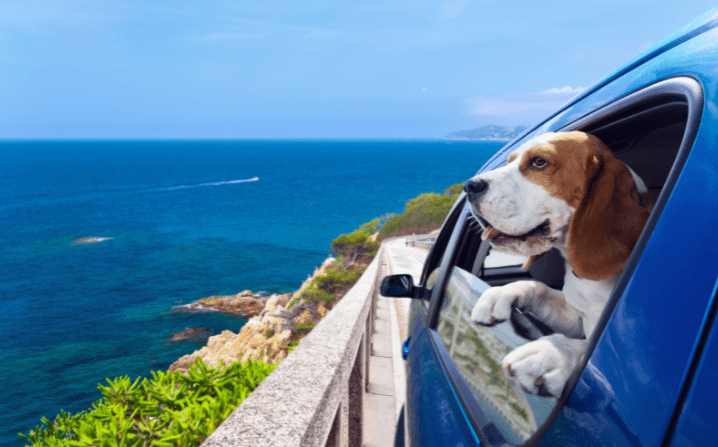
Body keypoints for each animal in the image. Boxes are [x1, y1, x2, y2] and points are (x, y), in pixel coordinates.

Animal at [464, 131, 656, 398]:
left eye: (539, 162)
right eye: (510, 161)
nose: (469, 186)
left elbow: (586, 350)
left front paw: (553, 353)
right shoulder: (575, 318)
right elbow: (538, 288)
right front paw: (499, 293)